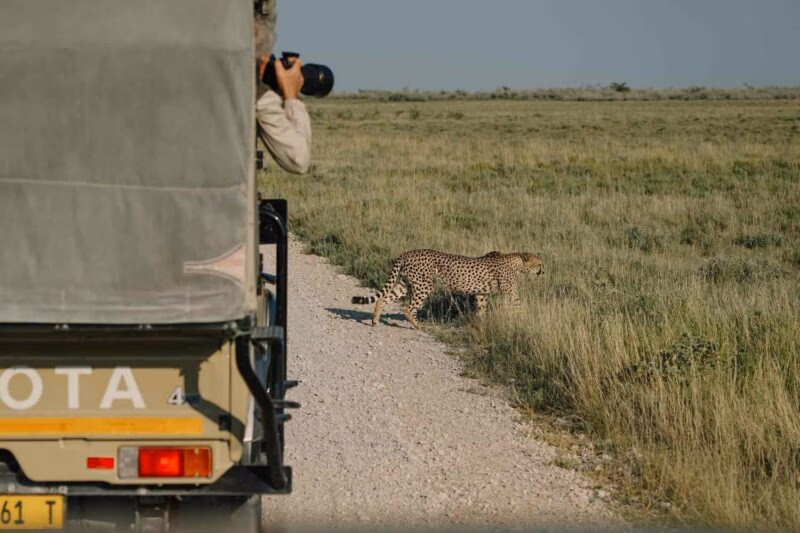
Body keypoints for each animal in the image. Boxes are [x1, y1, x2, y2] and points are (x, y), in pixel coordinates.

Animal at [351, 249, 543, 329]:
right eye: (539, 264)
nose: (543, 271)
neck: (515, 261)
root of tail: (407, 252)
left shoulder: (481, 294)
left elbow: (481, 310)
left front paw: (482, 325)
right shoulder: (510, 294)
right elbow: (519, 307)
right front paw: (529, 322)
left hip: (405, 283)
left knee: (383, 298)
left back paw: (375, 321)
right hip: (424, 285)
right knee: (408, 308)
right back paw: (419, 326)